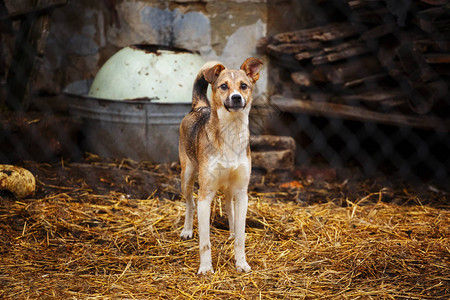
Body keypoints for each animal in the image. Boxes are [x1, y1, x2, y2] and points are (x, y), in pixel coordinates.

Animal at [179, 58, 264, 274]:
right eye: (223, 86)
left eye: (244, 86)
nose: (236, 98)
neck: (231, 132)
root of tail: (200, 106)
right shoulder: (205, 195)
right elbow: (205, 242)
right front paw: (205, 268)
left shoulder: (242, 193)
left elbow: (241, 236)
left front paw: (241, 263)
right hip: (187, 176)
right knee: (189, 204)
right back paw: (187, 230)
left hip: (230, 189)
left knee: (228, 208)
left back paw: (231, 232)